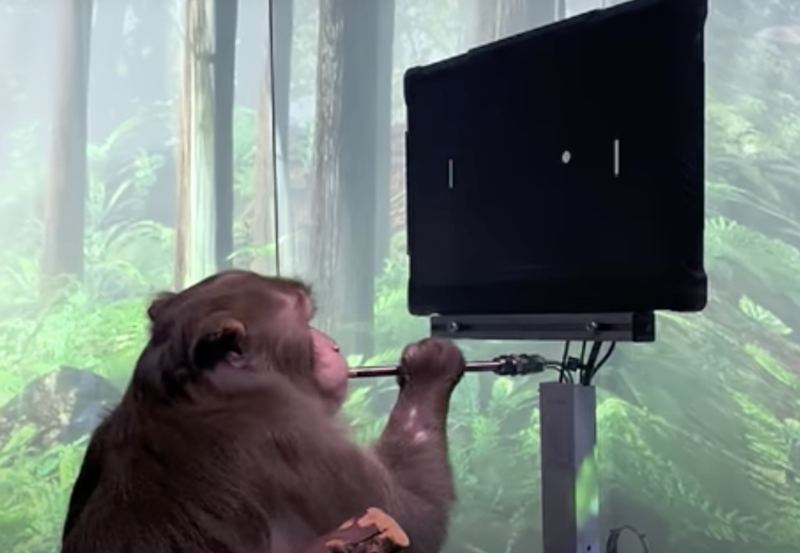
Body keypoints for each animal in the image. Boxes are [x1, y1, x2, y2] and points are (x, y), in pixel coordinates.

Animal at [60, 269, 465, 553]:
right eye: (306, 321)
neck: (201, 388)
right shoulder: (294, 433)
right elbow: (415, 518)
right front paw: (430, 367)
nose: (333, 346)